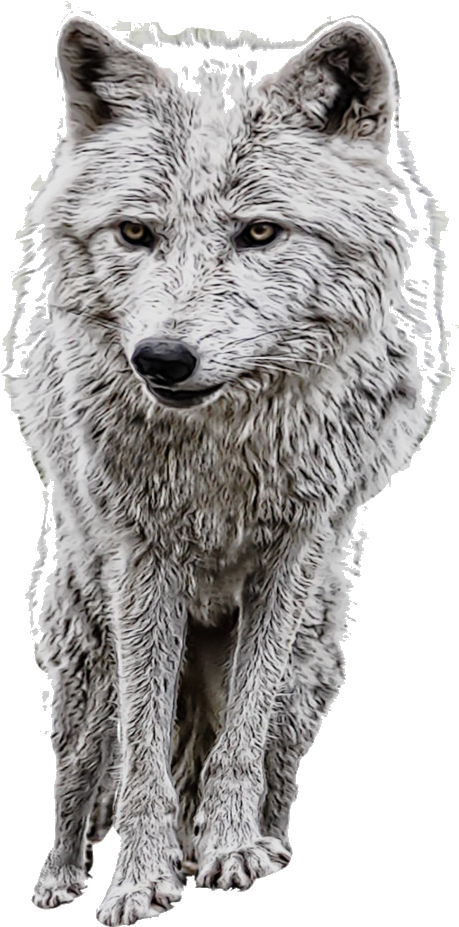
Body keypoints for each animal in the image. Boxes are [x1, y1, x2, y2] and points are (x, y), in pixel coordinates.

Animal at [8, 15, 434, 926]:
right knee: (77, 774)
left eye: (259, 233)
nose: (161, 359)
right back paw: (62, 877)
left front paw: (232, 849)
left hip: (313, 667)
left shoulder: (293, 558)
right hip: (86, 663)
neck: (220, 452)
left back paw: (257, 840)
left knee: (269, 762)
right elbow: (138, 763)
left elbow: (241, 736)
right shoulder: (142, 569)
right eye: (136, 233)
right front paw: (139, 880)